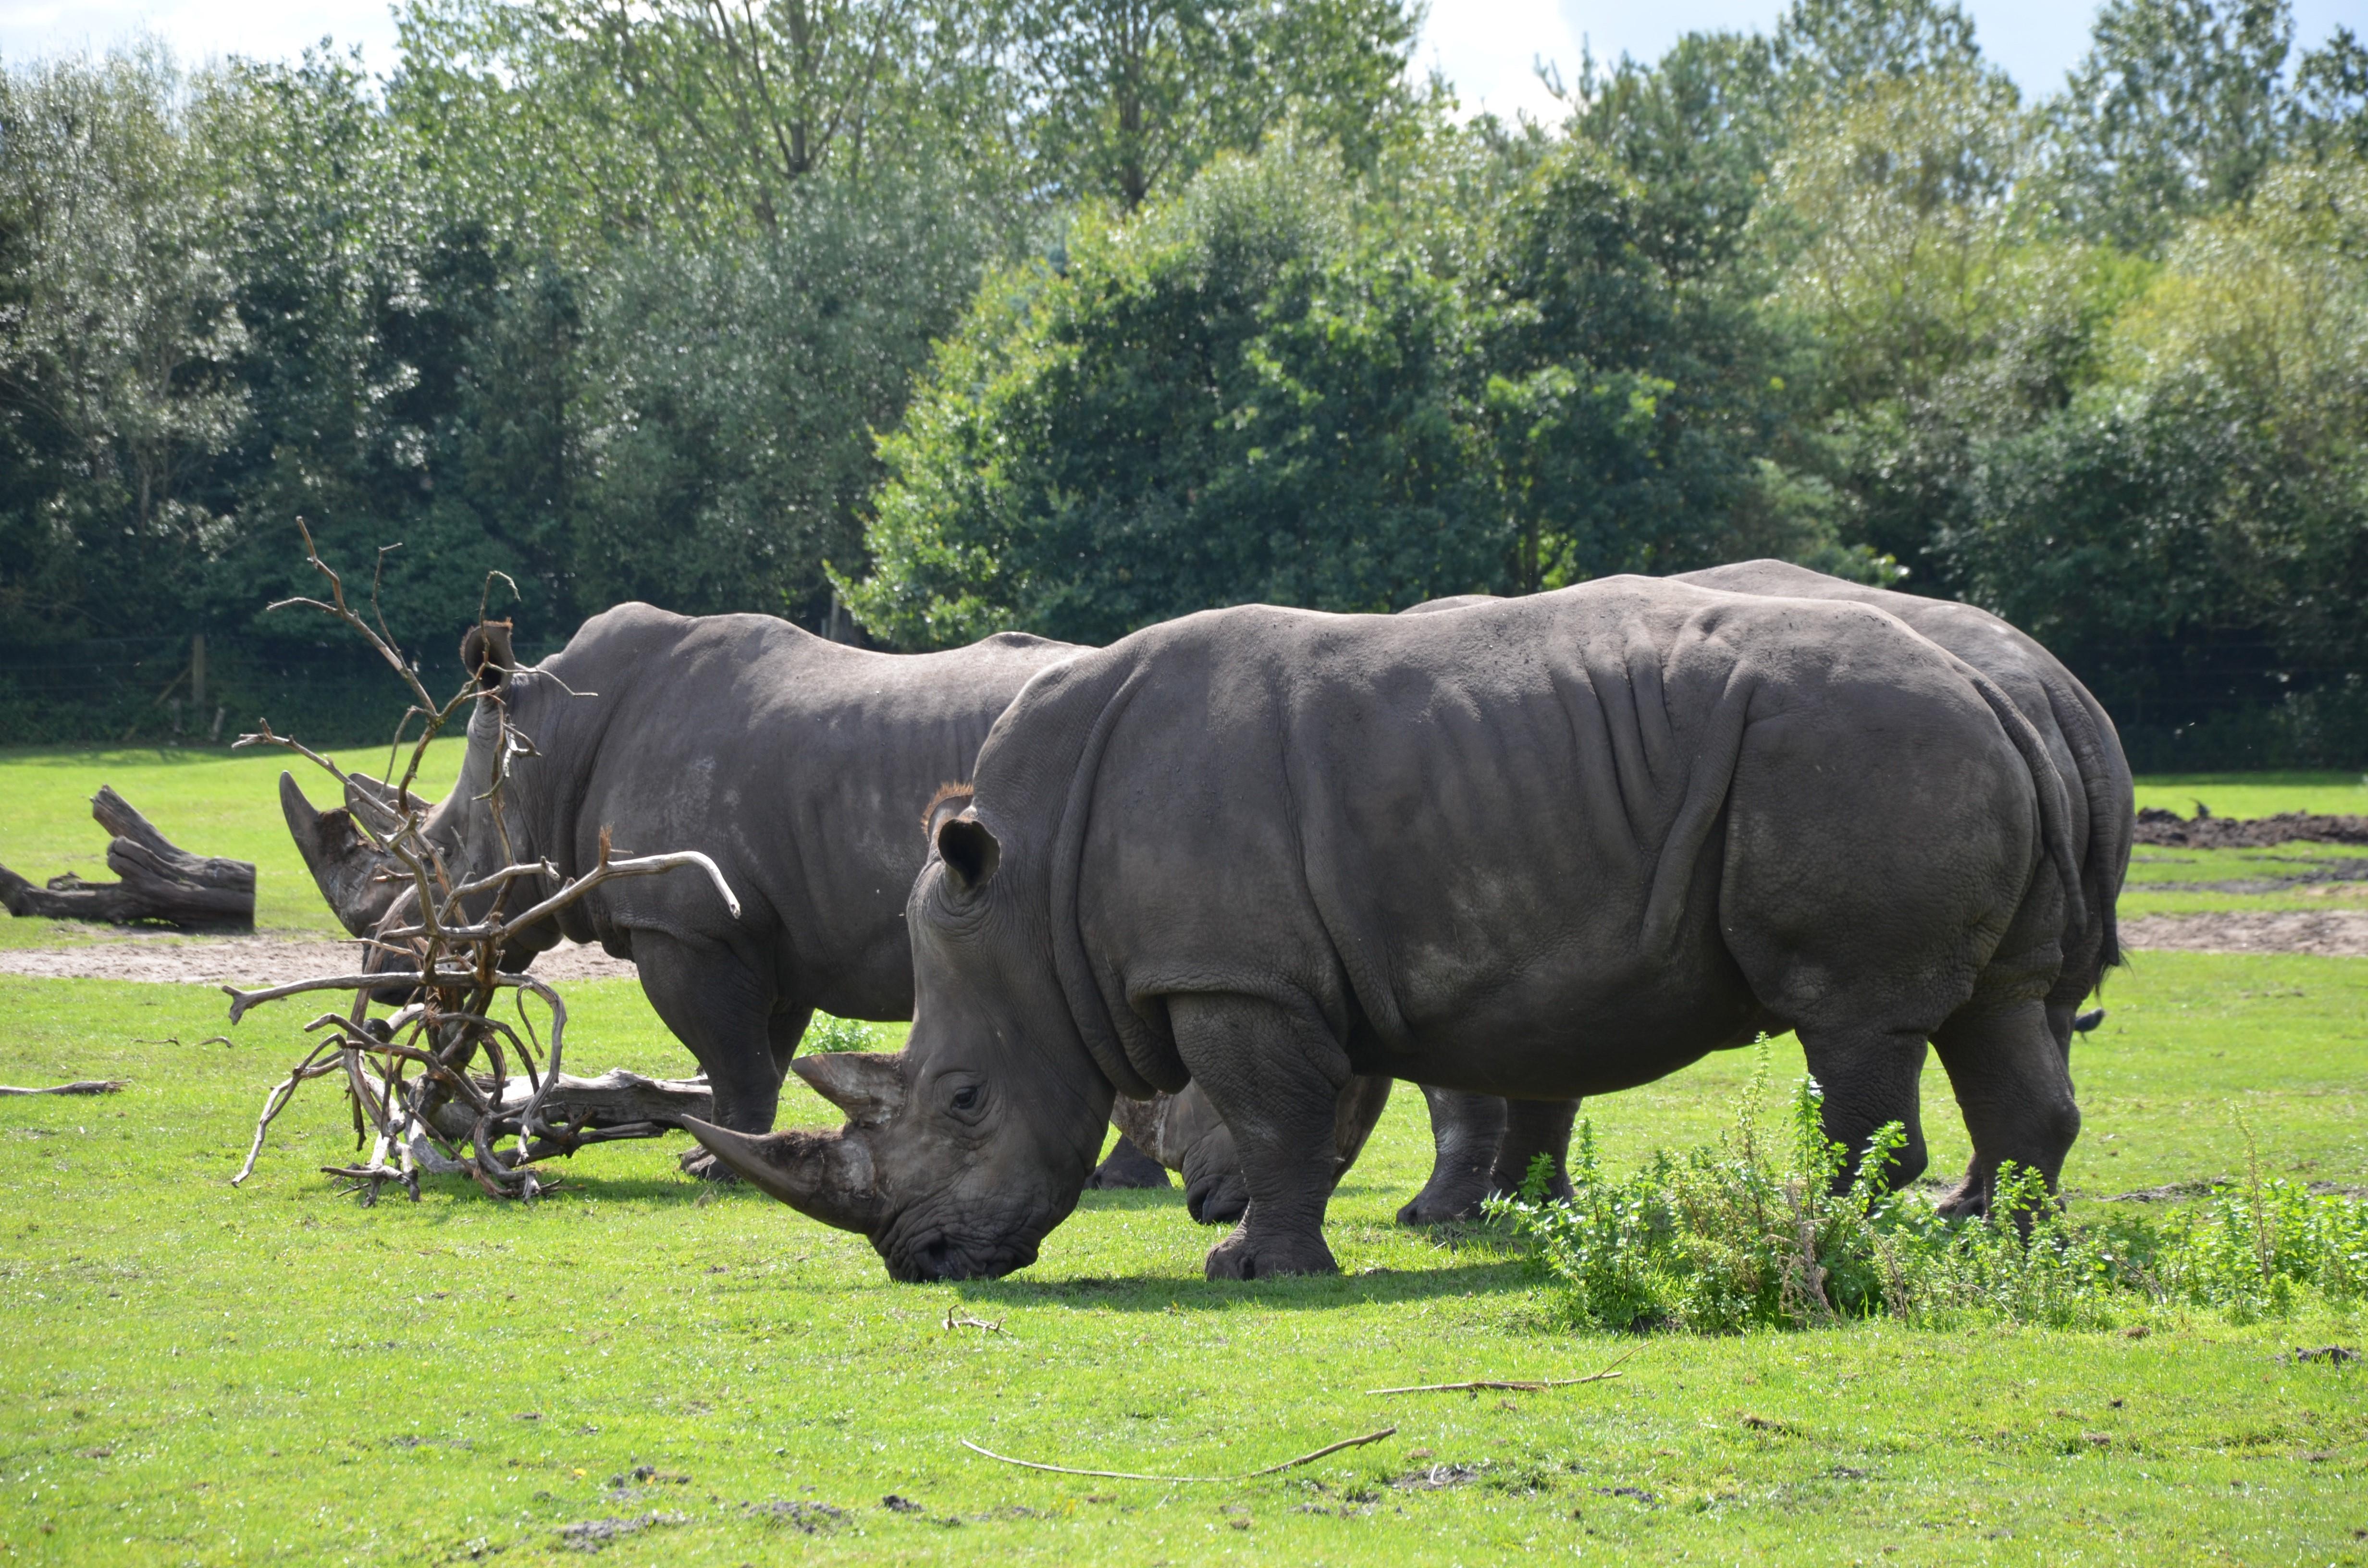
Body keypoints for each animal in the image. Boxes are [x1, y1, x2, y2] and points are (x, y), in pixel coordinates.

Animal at [281, 603, 1077, 1149]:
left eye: (442, 858)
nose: (385, 974)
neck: (551, 753)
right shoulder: (774, 931)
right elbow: (763, 1053)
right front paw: (733, 1151)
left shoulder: (687, 923)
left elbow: (733, 1057)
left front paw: (722, 1160)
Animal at [686, 576, 2090, 1280]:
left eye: (965, 1100)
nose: (920, 1260)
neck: (1030, 898)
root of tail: (2001, 682)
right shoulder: (1301, 967)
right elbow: (1324, 1111)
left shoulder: (1235, 977)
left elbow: (1276, 1117)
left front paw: (1253, 1271)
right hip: (1932, 751)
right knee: (1999, 1010)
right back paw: (1988, 1240)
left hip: (1866, 755)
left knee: (1854, 1020)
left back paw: (1827, 1232)